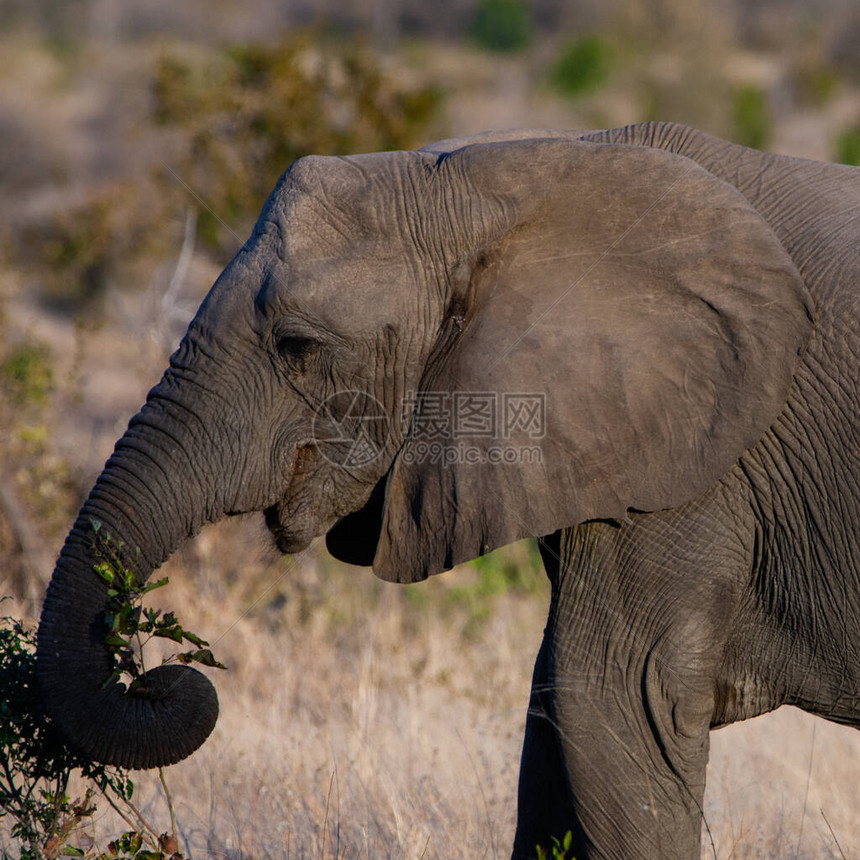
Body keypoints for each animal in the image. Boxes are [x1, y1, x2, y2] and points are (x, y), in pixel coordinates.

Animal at [35, 122, 860, 860]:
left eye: (297, 346)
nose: (162, 679)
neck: (506, 175)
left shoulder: (693, 461)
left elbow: (614, 699)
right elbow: (554, 715)